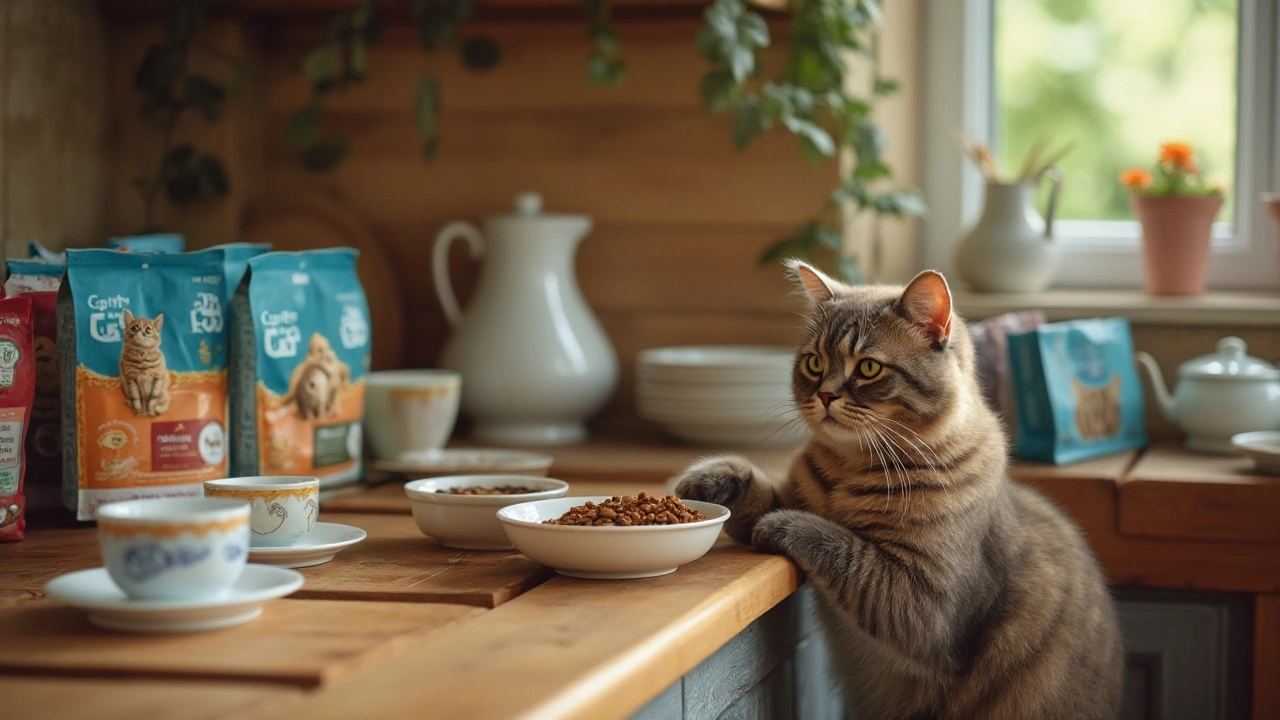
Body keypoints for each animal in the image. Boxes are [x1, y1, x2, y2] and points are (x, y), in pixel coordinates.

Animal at [675, 263, 1126, 717]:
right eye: (815, 362)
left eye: (868, 368)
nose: (824, 394)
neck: (850, 468)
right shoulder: (795, 494)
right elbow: (755, 492)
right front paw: (705, 483)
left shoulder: (924, 603)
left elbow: (838, 543)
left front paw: (784, 525)